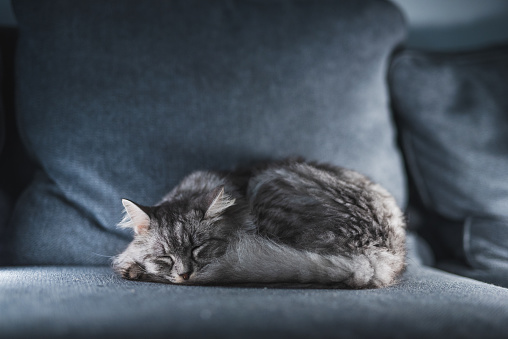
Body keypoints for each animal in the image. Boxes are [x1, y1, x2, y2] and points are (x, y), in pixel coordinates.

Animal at [113, 159, 406, 290]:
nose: (185, 275)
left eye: (199, 248)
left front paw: (132, 266)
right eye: (165, 257)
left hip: (267, 182)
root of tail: (378, 255)